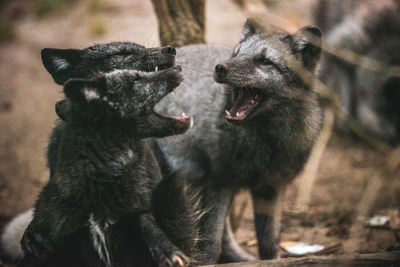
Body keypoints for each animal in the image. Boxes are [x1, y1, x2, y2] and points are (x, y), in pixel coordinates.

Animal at [149, 19, 322, 264]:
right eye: (237, 54)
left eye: (265, 61)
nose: (220, 68)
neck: (265, 142)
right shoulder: (221, 182)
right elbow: (211, 242)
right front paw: (205, 263)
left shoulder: (270, 188)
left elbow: (269, 244)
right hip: (185, 175)